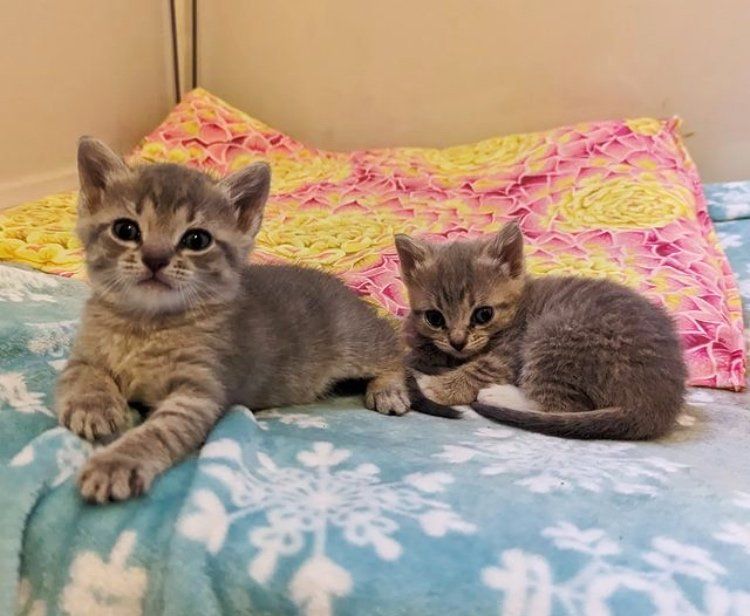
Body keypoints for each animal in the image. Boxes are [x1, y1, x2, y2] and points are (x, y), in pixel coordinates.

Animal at [57, 137, 412, 502]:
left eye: (196, 240)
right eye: (125, 230)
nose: (155, 258)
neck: (145, 324)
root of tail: (343, 287)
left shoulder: (200, 391)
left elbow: (160, 432)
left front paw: (117, 462)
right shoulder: (84, 354)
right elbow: (84, 374)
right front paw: (94, 406)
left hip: (356, 341)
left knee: (395, 349)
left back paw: (388, 390)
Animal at [396, 224, 692, 440]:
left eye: (483, 314)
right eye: (435, 318)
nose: (457, 341)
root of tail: (660, 401)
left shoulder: (510, 352)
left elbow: (478, 369)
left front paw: (432, 385)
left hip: (552, 332)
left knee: (560, 406)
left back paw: (498, 395)